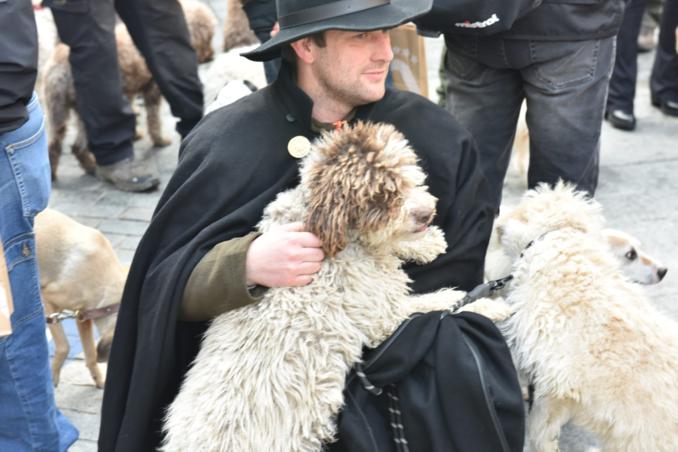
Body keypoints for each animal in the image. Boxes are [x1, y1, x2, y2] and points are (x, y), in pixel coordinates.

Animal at [34, 208, 129, 388]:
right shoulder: (48, 299)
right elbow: (64, 346)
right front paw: (53, 377)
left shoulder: (83, 316)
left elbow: (91, 354)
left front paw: (99, 380)